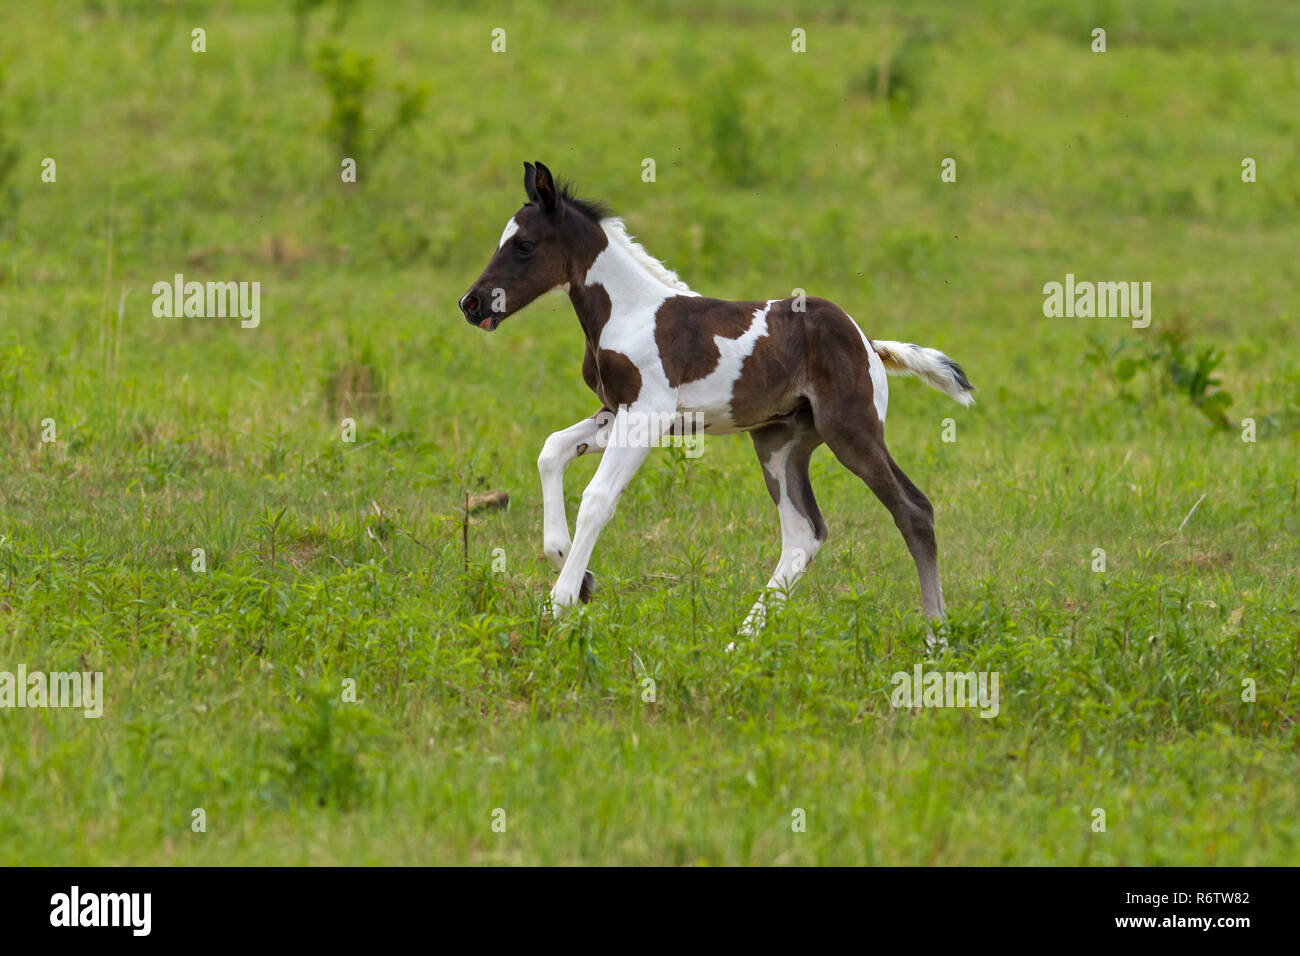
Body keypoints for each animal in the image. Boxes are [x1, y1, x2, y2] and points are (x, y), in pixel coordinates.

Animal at [460, 162, 977, 642]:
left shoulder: (647, 415)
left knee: (913, 509)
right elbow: (552, 450)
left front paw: (560, 603)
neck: (625, 312)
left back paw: (936, 635)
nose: (472, 303)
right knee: (803, 532)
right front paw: (579, 575)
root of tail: (868, 342)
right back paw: (741, 644)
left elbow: (598, 498)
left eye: (524, 245)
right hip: (779, 442)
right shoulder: (619, 411)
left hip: (852, 430)